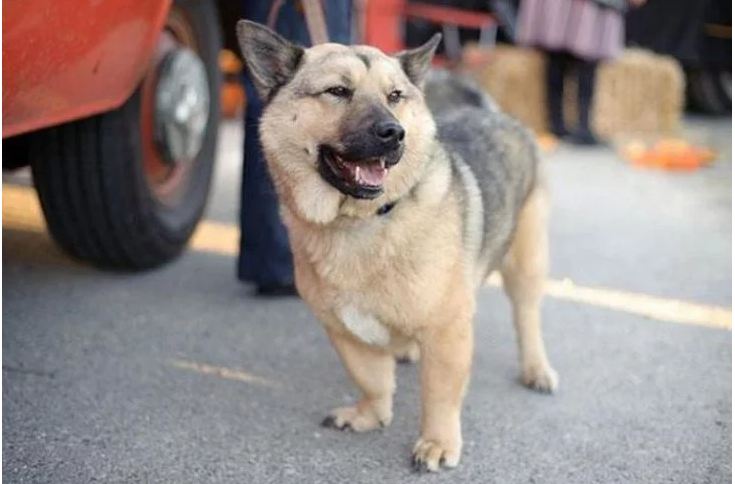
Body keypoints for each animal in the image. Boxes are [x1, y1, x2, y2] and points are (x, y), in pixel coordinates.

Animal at [237, 20, 556, 470]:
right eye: (338, 91)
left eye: (395, 96)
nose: (394, 133)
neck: (361, 220)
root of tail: (495, 114)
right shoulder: (345, 331)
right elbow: (371, 379)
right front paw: (370, 415)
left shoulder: (447, 329)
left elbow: (439, 394)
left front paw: (438, 442)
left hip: (527, 264)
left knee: (527, 317)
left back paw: (536, 369)